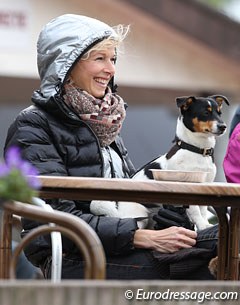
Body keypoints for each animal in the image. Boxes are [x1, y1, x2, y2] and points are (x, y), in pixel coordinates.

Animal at [91, 95, 230, 230]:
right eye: (206, 113)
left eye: (220, 113)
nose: (223, 127)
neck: (196, 150)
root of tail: (117, 212)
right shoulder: (188, 187)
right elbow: (196, 211)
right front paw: (201, 226)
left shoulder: (205, 185)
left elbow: (203, 210)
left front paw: (205, 224)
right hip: (140, 214)